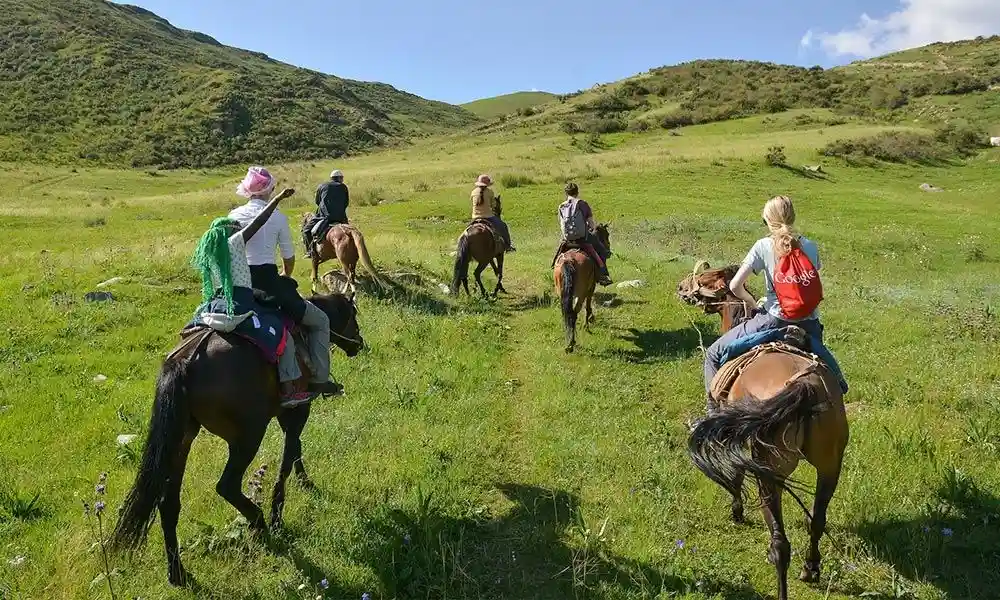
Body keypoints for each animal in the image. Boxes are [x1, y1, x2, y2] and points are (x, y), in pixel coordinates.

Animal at [110, 292, 368, 584]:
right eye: (353, 314)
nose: (358, 343)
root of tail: (187, 361)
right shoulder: (298, 409)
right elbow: (288, 457)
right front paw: (278, 514)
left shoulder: (285, 413)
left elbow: (295, 449)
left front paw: (304, 482)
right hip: (248, 436)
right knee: (227, 486)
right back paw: (259, 523)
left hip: (181, 440)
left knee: (168, 504)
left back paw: (178, 573)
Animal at [556, 224, 608, 354]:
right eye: (607, 235)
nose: (608, 247)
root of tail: (569, 261)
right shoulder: (590, 288)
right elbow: (588, 307)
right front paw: (588, 323)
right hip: (581, 293)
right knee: (574, 313)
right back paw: (571, 344)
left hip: (562, 293)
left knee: (566, 313)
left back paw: (569, 342)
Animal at [676, 260, 848, 600]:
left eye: (705, 278)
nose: (681, 288)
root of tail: (805, 385)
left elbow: (735, 476)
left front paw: (737, 510)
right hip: (830, 465)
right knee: (817, 521)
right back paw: (811, 569)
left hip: (770, 473)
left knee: (780, 545)